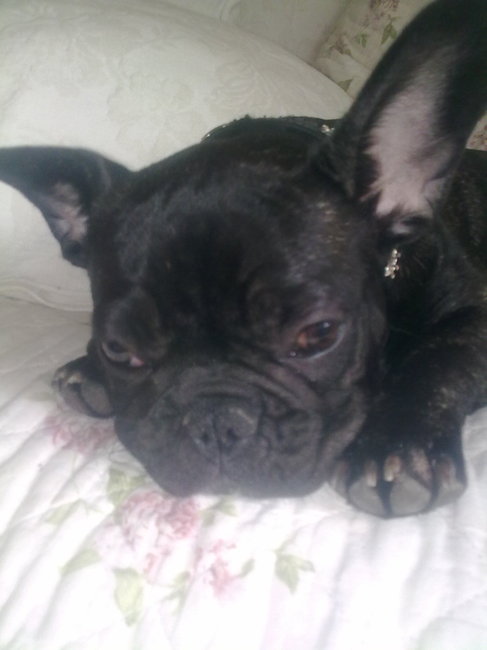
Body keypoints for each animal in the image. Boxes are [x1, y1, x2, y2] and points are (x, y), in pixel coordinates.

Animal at [0, 0, 486, 517]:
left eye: (319, 334)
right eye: (118, 349)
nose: (214, 420)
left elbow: (438, 358)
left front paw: (394, 446)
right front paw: (90, 367)